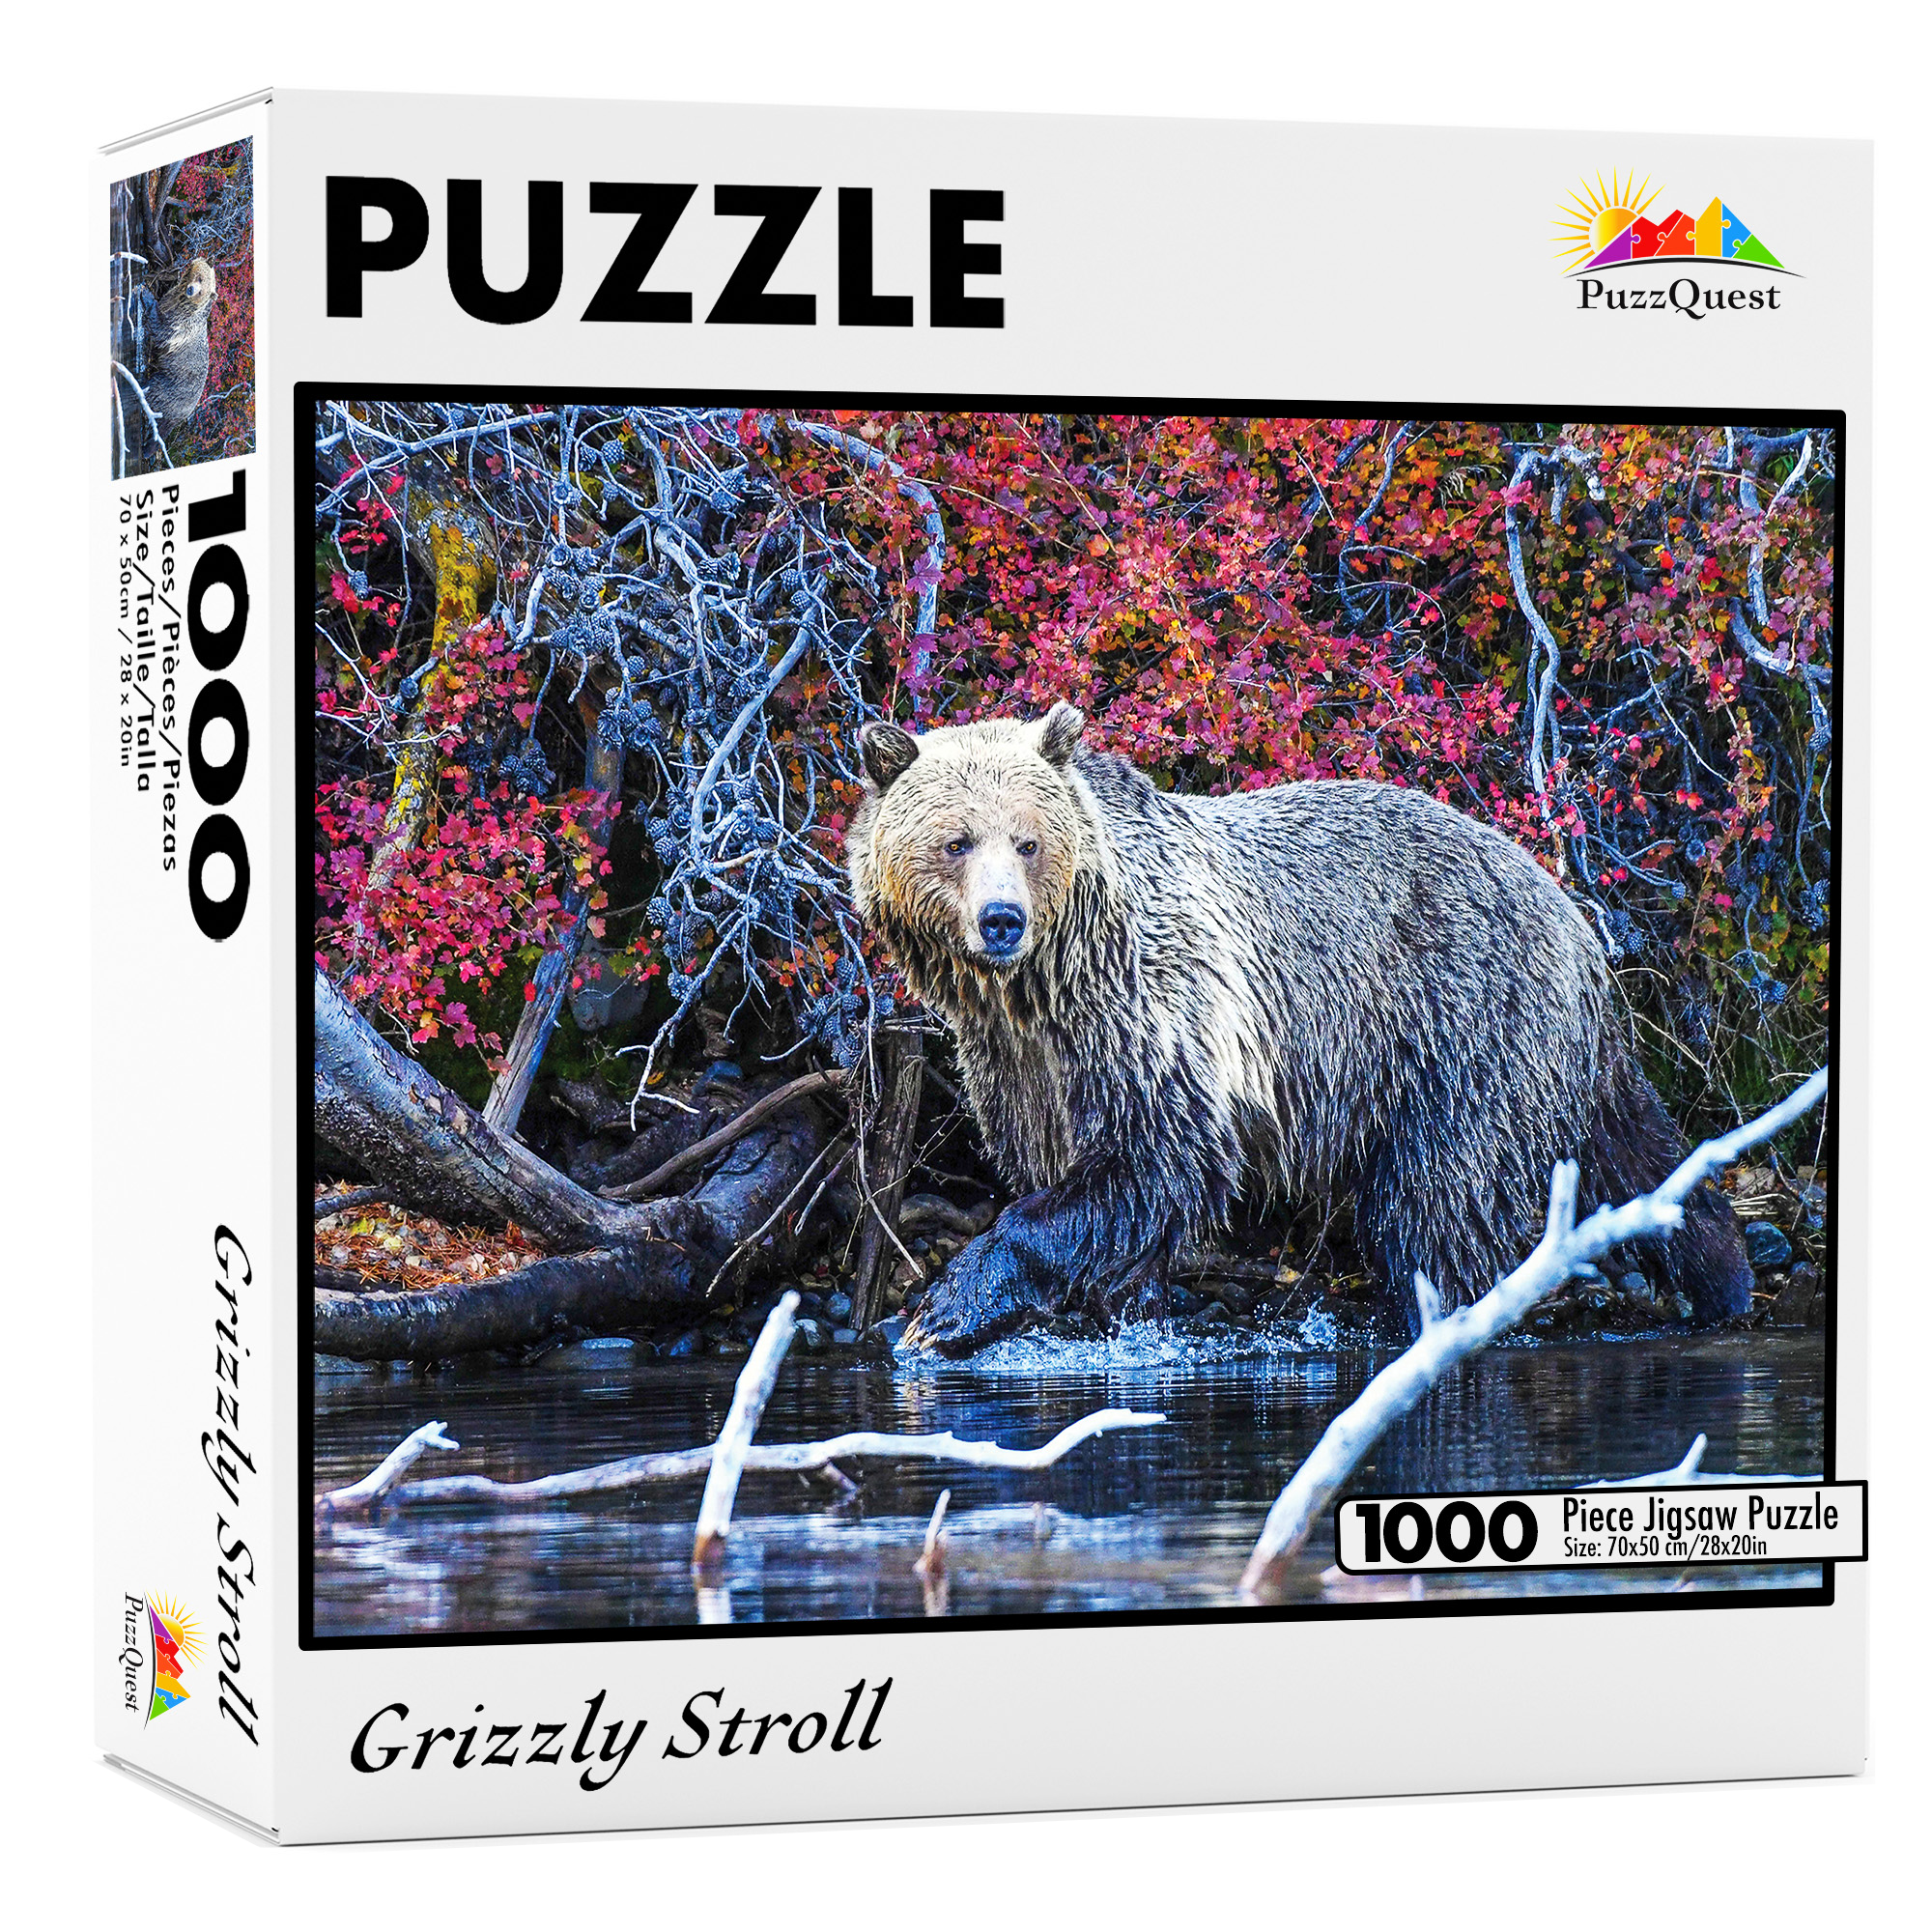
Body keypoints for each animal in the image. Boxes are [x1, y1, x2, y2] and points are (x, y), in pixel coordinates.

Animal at [844, 700, 1754, 1356]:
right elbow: (1073, 1177)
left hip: (1465, 1025)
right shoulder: (1023, 1066)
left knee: (1438, 1201)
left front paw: (943, 1309)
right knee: (1633, 1147)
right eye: (956, 842)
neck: (1047, 984)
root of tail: (1574, 916)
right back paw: (1723, 1273)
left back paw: (1433, 1320)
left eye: (1028, 841)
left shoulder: (1153, 1013)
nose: (1001, 920)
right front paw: (1109, 1308)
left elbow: (1152, 1160)